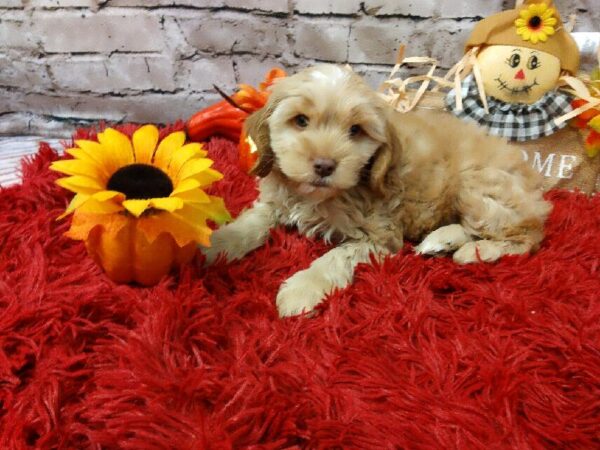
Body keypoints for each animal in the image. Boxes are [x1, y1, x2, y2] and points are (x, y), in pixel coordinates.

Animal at [204, 65, 552, 318]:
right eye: (300, 121)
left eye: (355, 130)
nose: (324, 165)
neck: (315, 196)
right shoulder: (276, 201)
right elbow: (251, 222)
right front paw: (216, 245)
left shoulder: (379, 234)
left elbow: (335, 257)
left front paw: (302, 289)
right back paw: (441, 240)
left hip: (478, 186)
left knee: (527, 237)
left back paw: (471, 250)